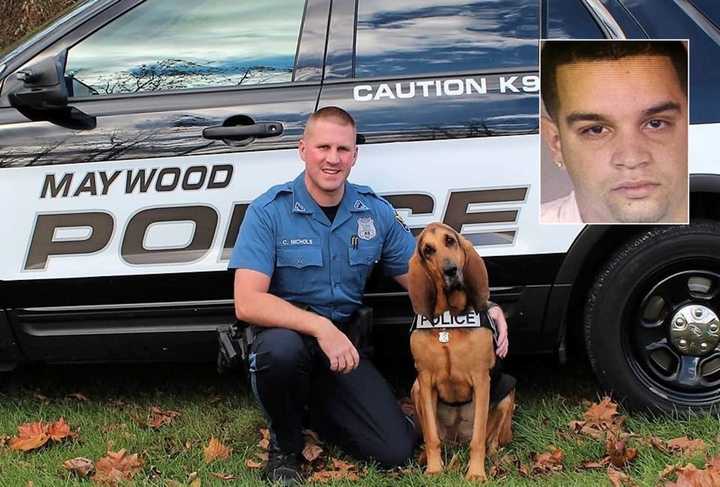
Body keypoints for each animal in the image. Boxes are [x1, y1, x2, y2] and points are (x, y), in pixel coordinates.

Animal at [408, 223, 516, 482]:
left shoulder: (481, 380)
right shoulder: (425, 381)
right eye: (428, 250)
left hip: (507, 393)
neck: (450, 320)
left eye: (450, 240)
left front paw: (476, 474)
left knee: (490, 442)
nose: (450, 270)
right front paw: (434, 469)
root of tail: (457, 440)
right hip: (415, 389)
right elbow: (431, 438)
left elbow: (478, 440)